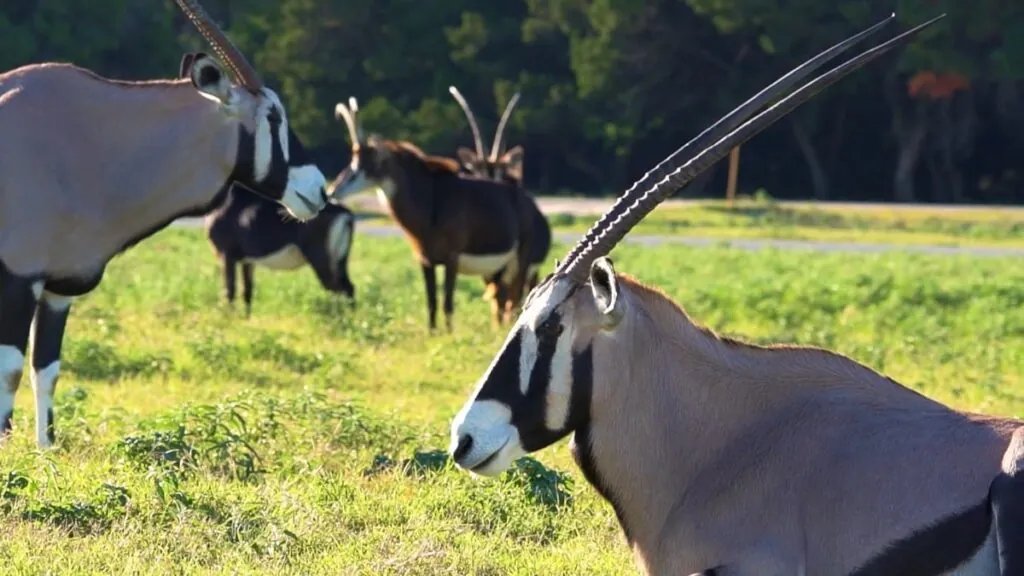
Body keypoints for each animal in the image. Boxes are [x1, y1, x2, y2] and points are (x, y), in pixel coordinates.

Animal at [0, 0, 331, 446]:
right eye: (273, 116)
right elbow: (11, 371)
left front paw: (45, 450)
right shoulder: (20, 279)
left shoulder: (58, 288)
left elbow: (45, 371)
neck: (87, 140)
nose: (318, 189)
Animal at [203, 183, 356, 313]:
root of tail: (346, 214)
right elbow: (247, 291)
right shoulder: (247, 261)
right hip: (340, 261)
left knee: (339, 290)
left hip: (320, 260)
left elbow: (229, 291)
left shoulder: (227, 255)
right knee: (349, 288)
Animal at [329, 97, 536, 332]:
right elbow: (431, 302)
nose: (333, 190)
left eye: (369, 163)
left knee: (515, 297)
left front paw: (449, 334)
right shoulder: (425, 260)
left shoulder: (451, 259)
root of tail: (524, 199)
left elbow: (447, 302)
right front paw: (432, 333)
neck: (431, 201)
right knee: (502, 298)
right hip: (499, 269)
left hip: (520, 262)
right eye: (353, 160)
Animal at [448, 85, 552, 317]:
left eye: (499, 174)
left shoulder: (519, 265)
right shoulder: (489, 269)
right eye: (477, 172)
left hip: (527, 269)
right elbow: (497, 302)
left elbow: (510, 300)